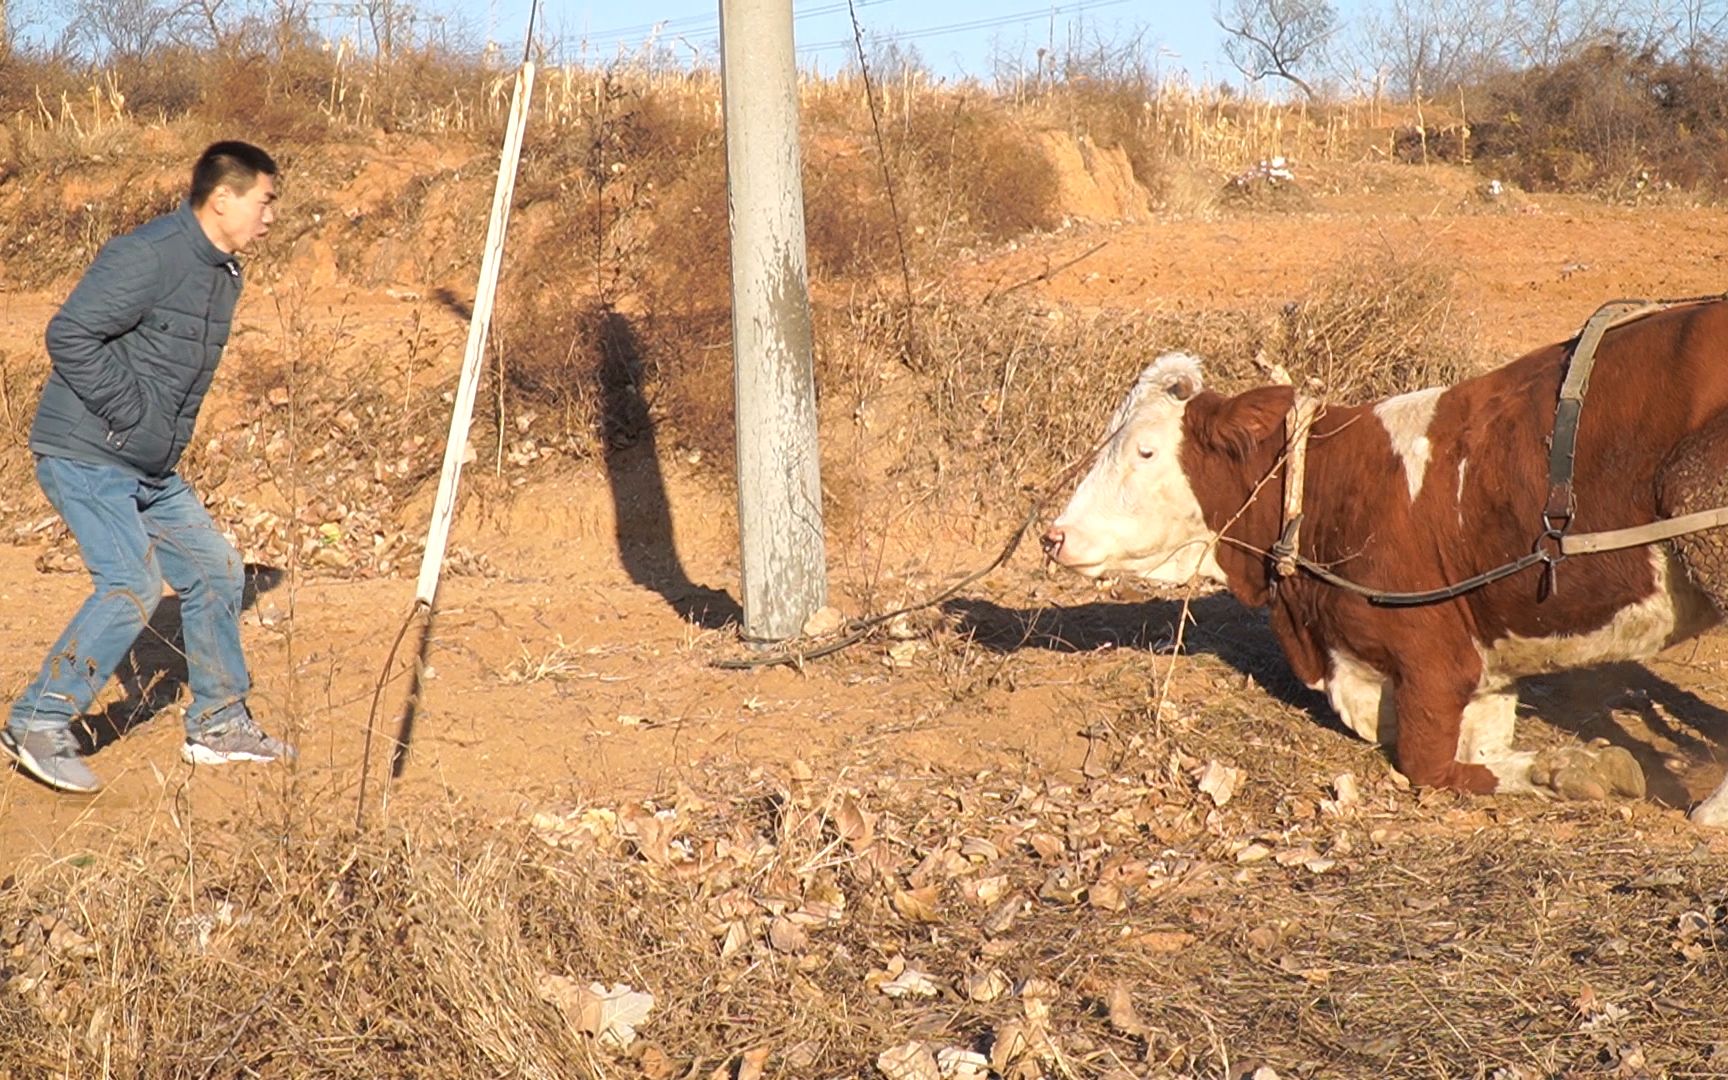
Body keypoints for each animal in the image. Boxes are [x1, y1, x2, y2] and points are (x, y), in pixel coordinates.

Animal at [1036, 304, 1728, 825]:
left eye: (1146, 451)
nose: (1052, 535)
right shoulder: (1479, 659)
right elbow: (1468, 738)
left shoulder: (1433, 660)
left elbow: (1430, 765)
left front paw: (1577, 769)